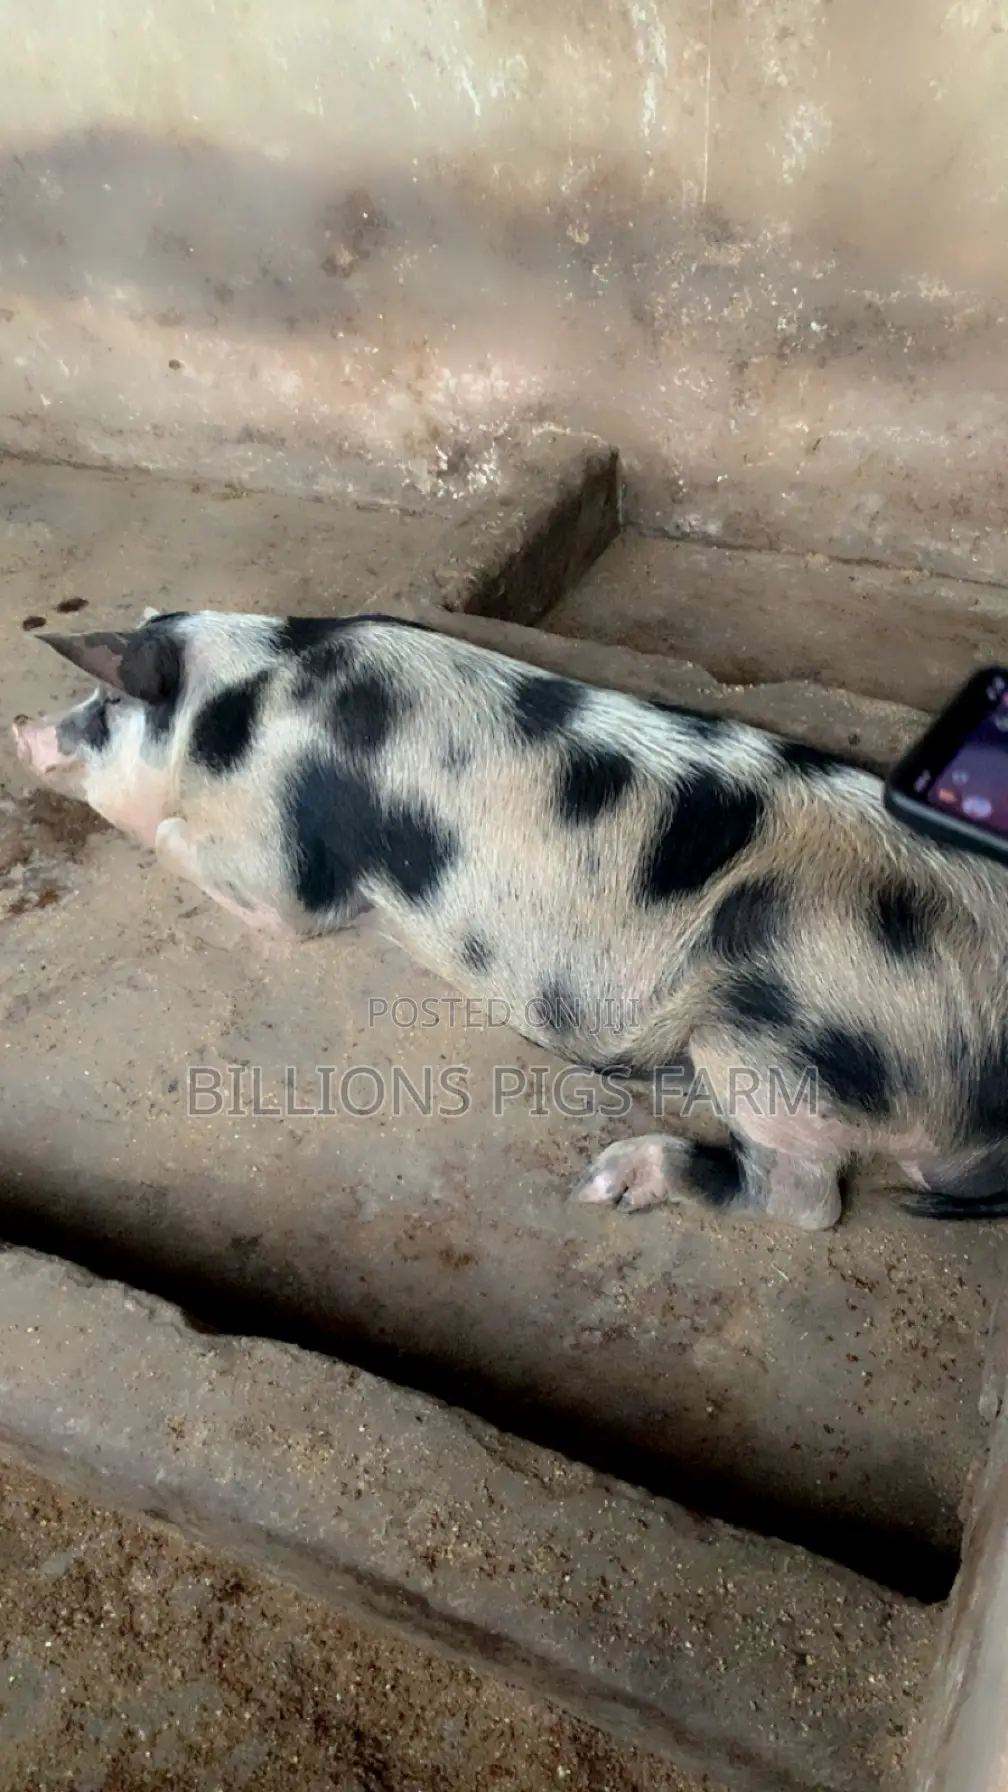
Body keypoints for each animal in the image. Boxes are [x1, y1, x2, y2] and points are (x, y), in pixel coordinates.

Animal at [11, 607, 1008, 1232]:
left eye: (105, 706)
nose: (20, 726)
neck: (235, 706)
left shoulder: (278, 864)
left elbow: (183, 842)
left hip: (772, 1039)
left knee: (804, 1200)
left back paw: (605, 1183)